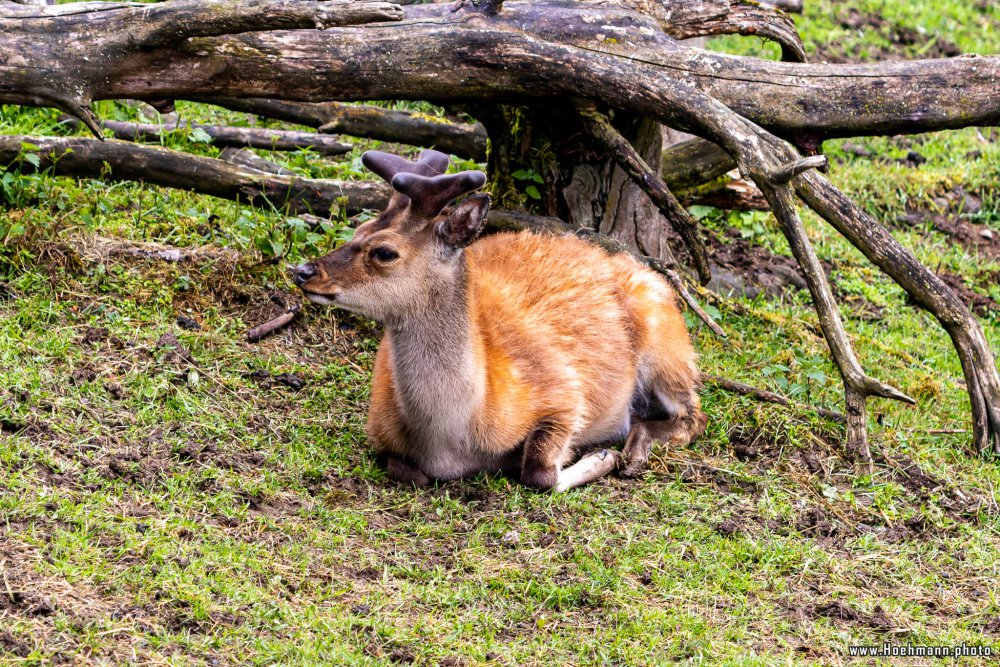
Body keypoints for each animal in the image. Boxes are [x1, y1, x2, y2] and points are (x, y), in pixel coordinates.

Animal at [292, 153, 708, 496]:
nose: (303, 271)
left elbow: (539, 474)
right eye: (357, 231)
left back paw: (632, 450)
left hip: (666, 344)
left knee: (694, 413)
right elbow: (406, 470)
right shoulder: (377, 429)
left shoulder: (563, 393)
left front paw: (599, 457)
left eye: (384, 252)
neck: (452, 438)